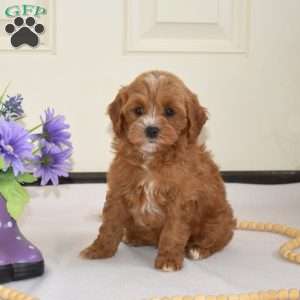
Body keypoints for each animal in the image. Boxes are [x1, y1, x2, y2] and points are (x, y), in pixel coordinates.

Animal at [81, 71, 236, 272]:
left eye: (170, 111)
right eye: (138, 110)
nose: (151, 129)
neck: (151, 159)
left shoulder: (180, 200)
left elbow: (173, 231)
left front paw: (168, 260)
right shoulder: (118, 190)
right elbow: (110, 224)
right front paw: (99, 249)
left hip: (221, 219)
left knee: (218, 239)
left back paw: (198, 249)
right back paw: (134, 237)